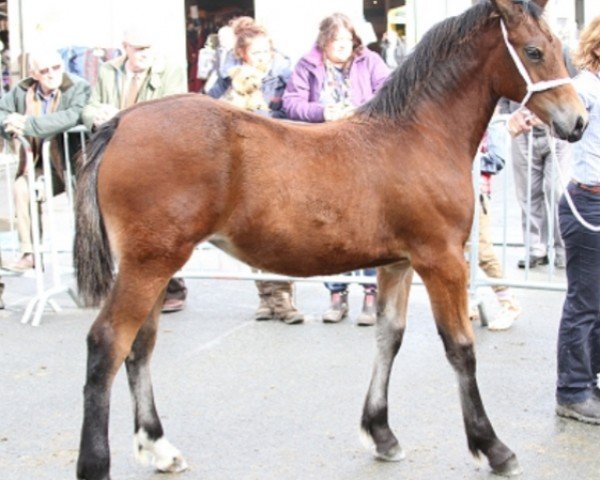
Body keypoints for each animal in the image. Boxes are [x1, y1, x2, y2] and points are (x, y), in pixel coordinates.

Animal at [74, 1, 584, 478]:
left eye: (560, 48)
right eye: (534, 52)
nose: (577, 122)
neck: (419, 137)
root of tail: (119, 124)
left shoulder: (397, 263)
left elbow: (389, 337)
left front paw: (381, 434)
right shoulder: (441, 261)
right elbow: (460, 347)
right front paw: (493, 447)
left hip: (156, 267)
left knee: (140, 347)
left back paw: (159, 449)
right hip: (149, 265)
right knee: (108, 343)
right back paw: (95, 464)